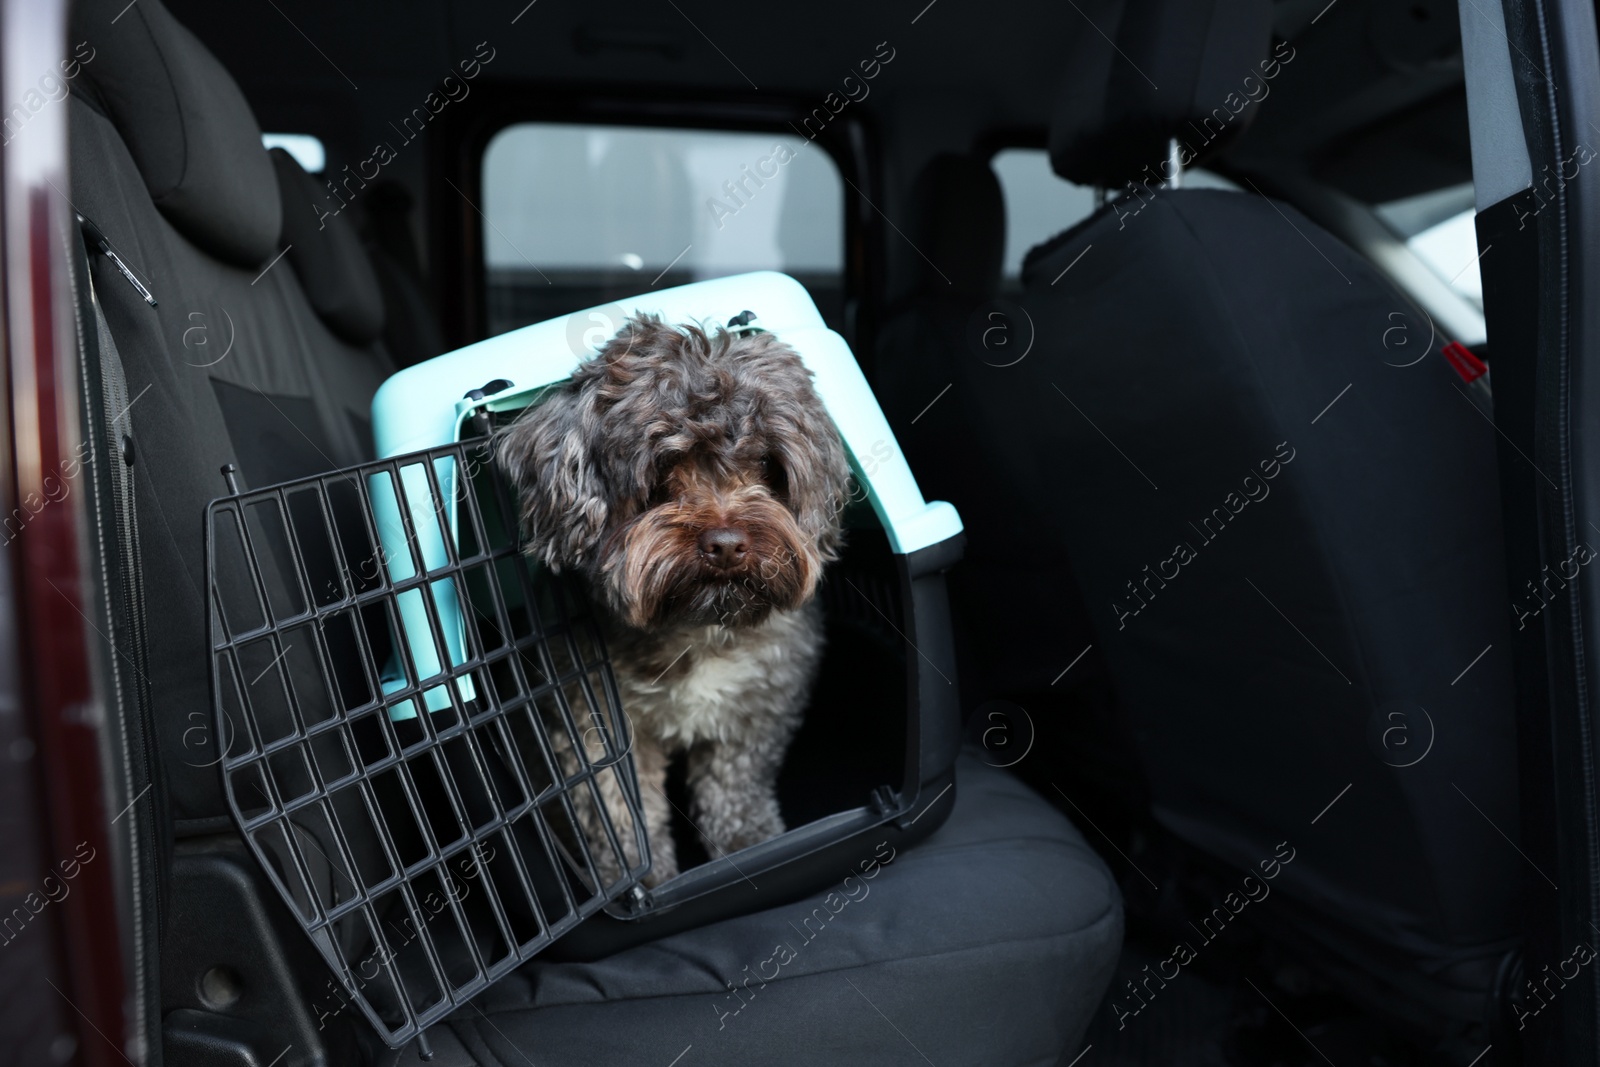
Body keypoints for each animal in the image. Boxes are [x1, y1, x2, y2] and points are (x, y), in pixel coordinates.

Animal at [496, 315, 851, 883]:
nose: (726, 544)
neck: (694, 626)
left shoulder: (762, 702)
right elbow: (620, 812)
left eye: (766, 464)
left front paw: (752, 843)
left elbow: (736, 786)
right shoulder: (592, 725)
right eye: (663, 469)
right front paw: (643, 877)